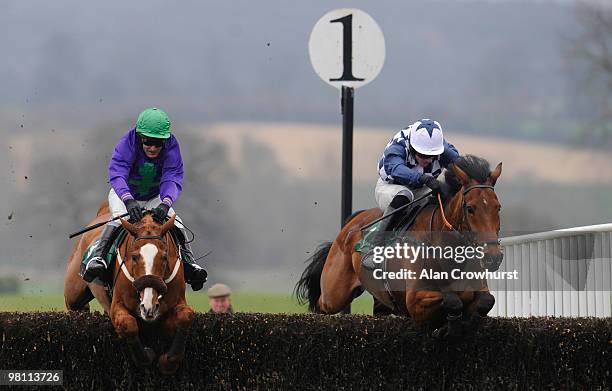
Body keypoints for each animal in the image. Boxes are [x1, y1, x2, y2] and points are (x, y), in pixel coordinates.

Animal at [64, 204, 194, 376]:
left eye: (164, 257)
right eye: (134, 257)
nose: (148, 307)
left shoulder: (177, 301)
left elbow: (186, 316)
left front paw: (169, 362)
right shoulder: (117, 305)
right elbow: (129, 324)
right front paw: (146, 357)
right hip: (73, 296)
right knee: (77, 308)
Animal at [296, 156, 502, 340]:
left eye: (497, 207)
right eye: (470, 208)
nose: (493, 257)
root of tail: (350, 225)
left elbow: (486, 301)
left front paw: (462, 323)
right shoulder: (415, 300)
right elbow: (452, 300)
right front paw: (448, 327)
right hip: (334, 294)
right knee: (321, 305)